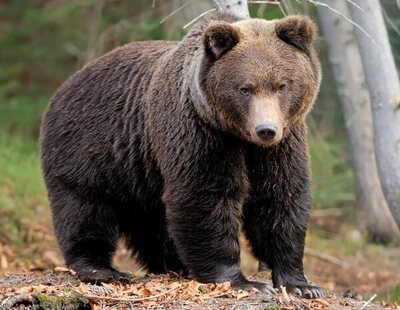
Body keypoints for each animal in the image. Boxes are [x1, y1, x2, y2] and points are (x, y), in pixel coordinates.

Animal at [39, 12, 322, 298]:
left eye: (282, 85)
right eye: (245, 88)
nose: (266, 129)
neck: (240, 137)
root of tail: (64, 87)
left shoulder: (283, 144)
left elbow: (280, 198)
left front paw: (301, 284)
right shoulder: (199, 132)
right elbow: (204, 195)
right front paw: (243, 281)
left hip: (140, 169)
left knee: (153, 222)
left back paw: (174, 265)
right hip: (88, 148)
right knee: (84, 207)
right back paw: (99, 268)